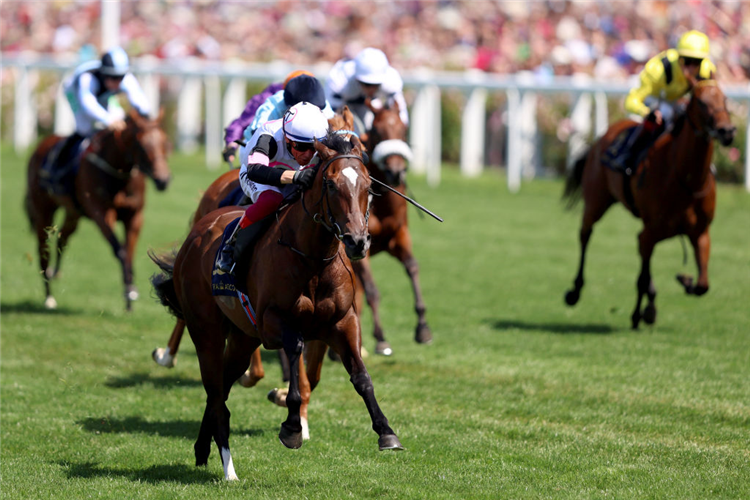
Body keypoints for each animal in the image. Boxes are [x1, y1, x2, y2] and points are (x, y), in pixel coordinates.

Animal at [25, 109, 171, 310]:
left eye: (164, 141)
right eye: (140, 145)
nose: (163, 180)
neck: (118, 172)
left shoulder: (135, 216)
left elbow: (129, 251)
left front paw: (130, 292)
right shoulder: (101, 214)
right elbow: (120, 250)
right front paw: (129, 293)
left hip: (73, 214)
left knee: (63, 240)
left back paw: (55, 273)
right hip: (43, 213)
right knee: (43, 251)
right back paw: (49, 297)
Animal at [149, 134, 402, 480]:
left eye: (368, 186)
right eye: (331, 184)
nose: (357, 242)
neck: (313, 260)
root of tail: (197, 233)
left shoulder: (343, 322)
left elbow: (361, 377)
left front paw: (386, 432)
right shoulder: (273, 323)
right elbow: (295, 358)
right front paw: (292, 428)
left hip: (242, 339)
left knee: (221, 390)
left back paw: (202, 448)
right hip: (207, 331)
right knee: (215, 394)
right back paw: (229, 469)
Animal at [354, 99, 434, 354]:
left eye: (403, 129)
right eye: (376, 131)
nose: (396, 171)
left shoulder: (398, 236)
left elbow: (412, 267)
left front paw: (422, 327)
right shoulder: (359, 248)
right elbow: (371, 289)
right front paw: (381, 338)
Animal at [564, 77, 736, 328]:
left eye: (725, 99)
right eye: (701, 102)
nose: (727, 131)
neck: (686, 179)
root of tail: (604, 135)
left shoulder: (700, 232)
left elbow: (702, 285)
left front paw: (684, 280)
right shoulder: (652, 230)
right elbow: (643, 278)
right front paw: (639, 313)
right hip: (596, 201)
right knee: (585, 234)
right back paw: (575, 290)